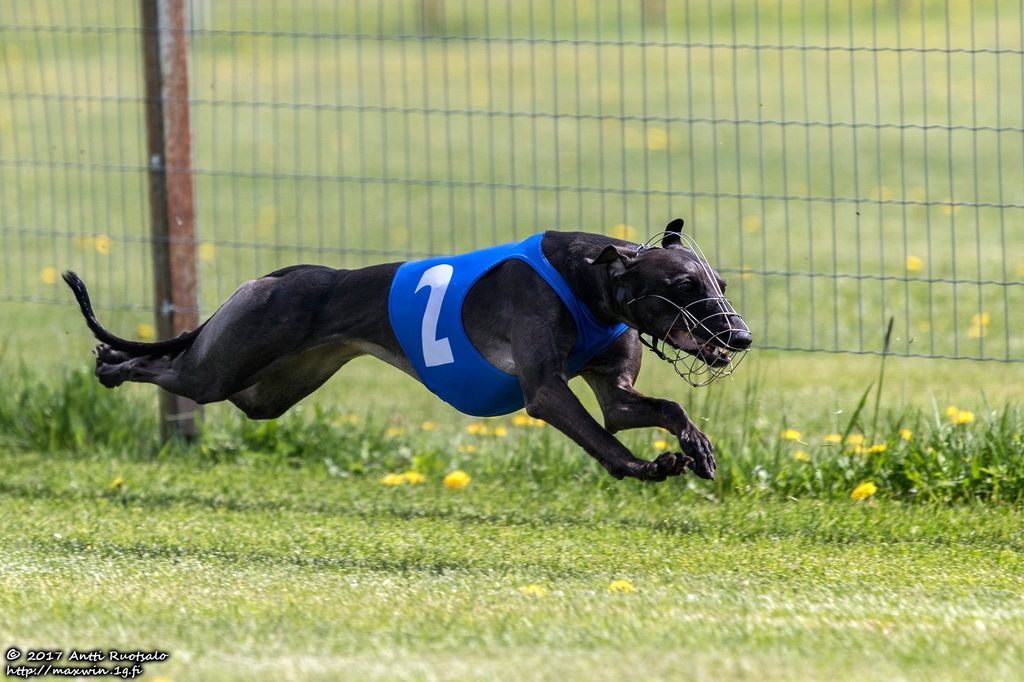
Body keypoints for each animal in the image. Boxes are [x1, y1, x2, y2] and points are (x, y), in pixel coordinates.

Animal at [66, 218, 753, 477]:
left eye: (719, 283)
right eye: (683, 287)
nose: (741, 336)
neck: (592, 281)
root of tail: (274, 276)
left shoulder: (616, 392)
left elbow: (659, 408)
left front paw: (697, 447)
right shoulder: (546, 392)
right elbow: (602, 439)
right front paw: (646, 467)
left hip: (266, 391)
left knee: (202, 379)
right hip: (228, 360)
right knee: (164, 366)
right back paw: (109, 365)